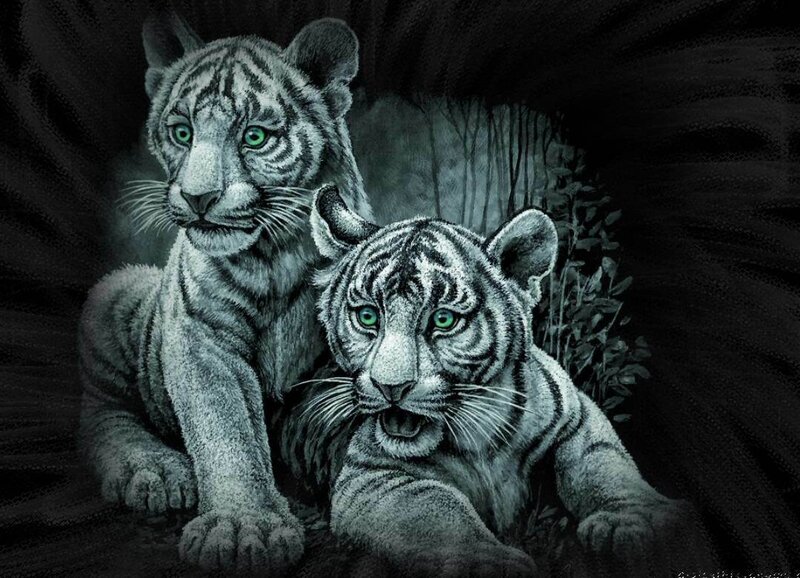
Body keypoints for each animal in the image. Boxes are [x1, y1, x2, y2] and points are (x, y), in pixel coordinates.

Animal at [78, 14, 371, 572]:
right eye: (182, 132)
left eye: (254, 137)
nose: (199, 197)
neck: (274, 256)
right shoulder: (202, 339)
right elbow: (226, 430)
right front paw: (242, 531)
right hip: (115, 292)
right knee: (102, 412)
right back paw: (154, 471)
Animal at [306, 184, 687, 576]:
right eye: (368, 316)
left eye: (443, 320)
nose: (390, 387)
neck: (480, 438)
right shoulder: (370, 473)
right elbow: (436, 511)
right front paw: (488, 562)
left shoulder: (578, 416)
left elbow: (603, 465)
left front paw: (634, 520)